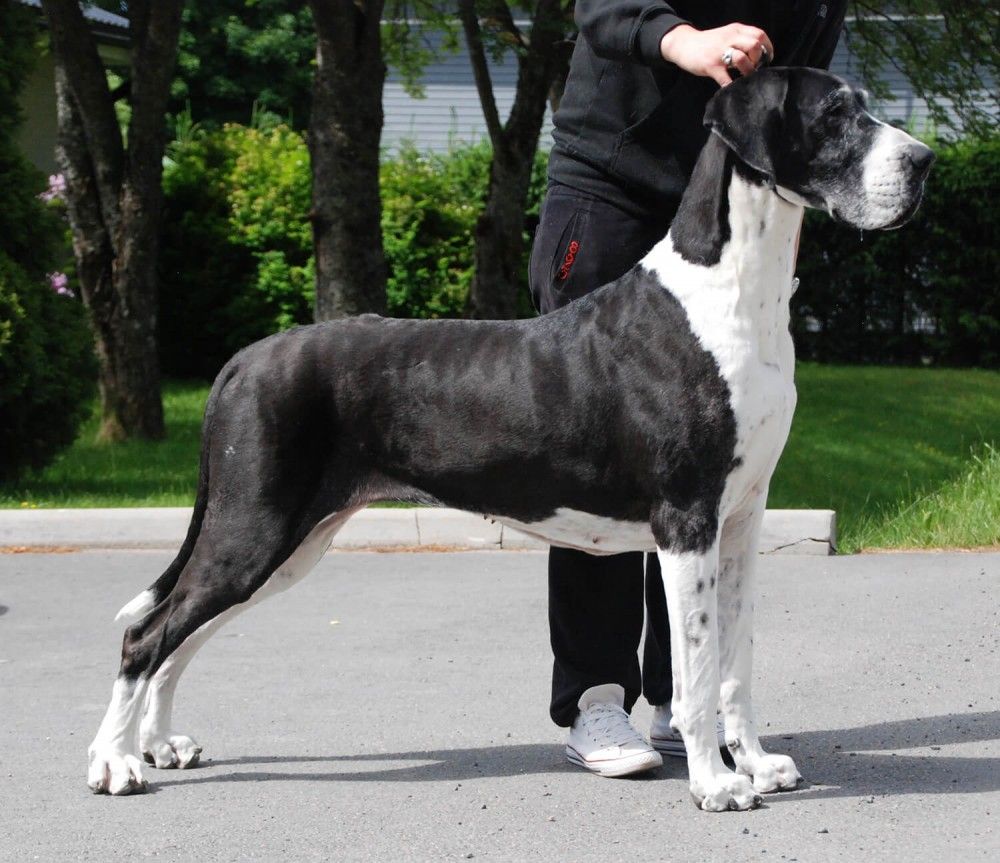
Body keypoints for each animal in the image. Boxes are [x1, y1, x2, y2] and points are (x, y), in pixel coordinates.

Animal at [87, 67, 933, 810]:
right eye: (833, 114)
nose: (923, 161)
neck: (730, 291)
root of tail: (242, 359)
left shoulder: (743, 520)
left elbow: (735, 659)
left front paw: (755, 763)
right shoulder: (687, 519)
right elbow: (694, 669)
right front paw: (714, 783)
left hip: (289, 540)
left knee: (180, 635)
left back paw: (158, 744)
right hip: (253, 526)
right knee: (146, 635)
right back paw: (115, 763)